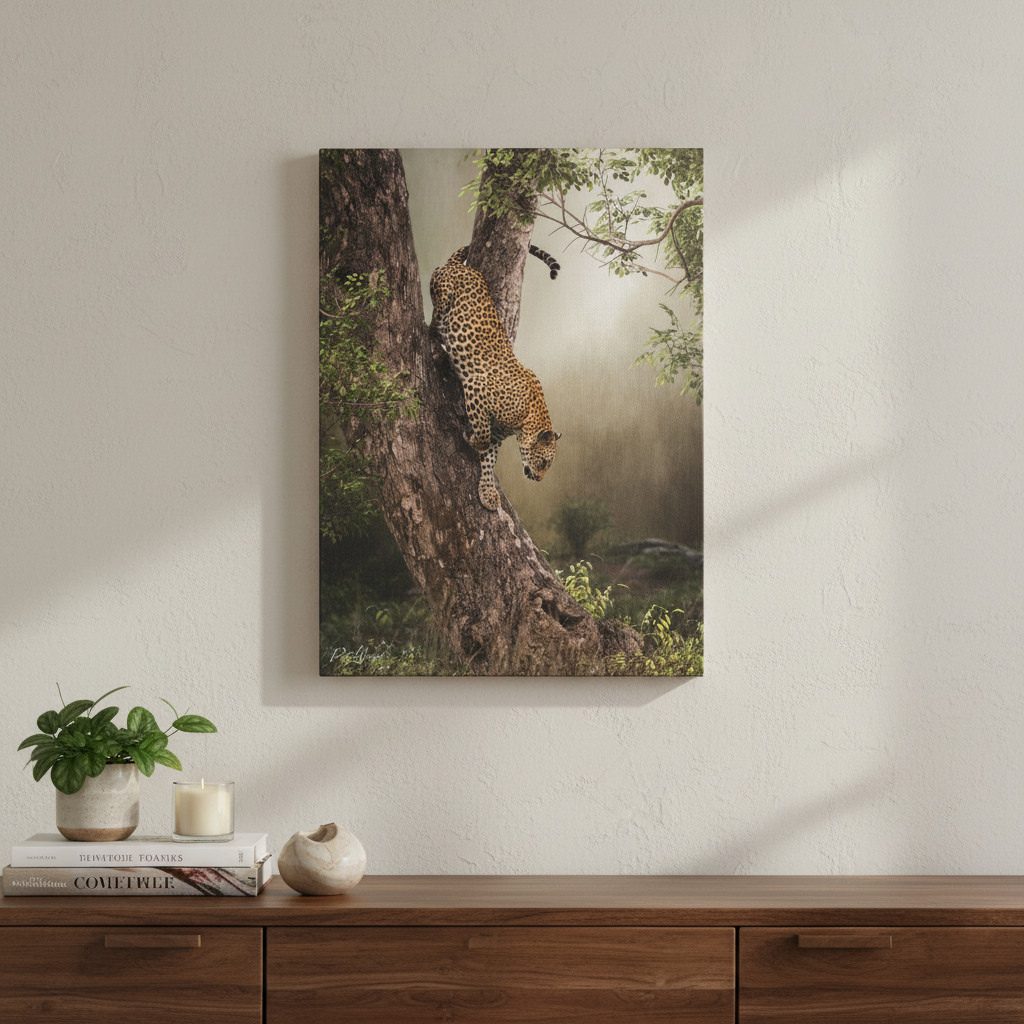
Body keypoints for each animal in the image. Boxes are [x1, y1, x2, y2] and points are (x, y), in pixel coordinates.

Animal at [429, 245, 561, 511]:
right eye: (544, 463)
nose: (539, 479)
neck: (527, 420)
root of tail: (461, 267)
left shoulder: (499, 434)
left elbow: (489, 459)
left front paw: (487, 492)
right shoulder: (476, 388)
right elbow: (482, 435)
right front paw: (469, 436)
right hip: (443, 293)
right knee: (434, 320)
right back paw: (439, 338)